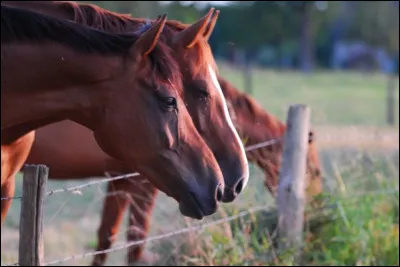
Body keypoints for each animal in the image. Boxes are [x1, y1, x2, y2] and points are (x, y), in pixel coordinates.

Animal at [18, 77, 324, 266]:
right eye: (316, 171)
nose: (315, 213)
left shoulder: (118, 181)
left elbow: (106, 238)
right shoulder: (142, 183)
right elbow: (135, 240)